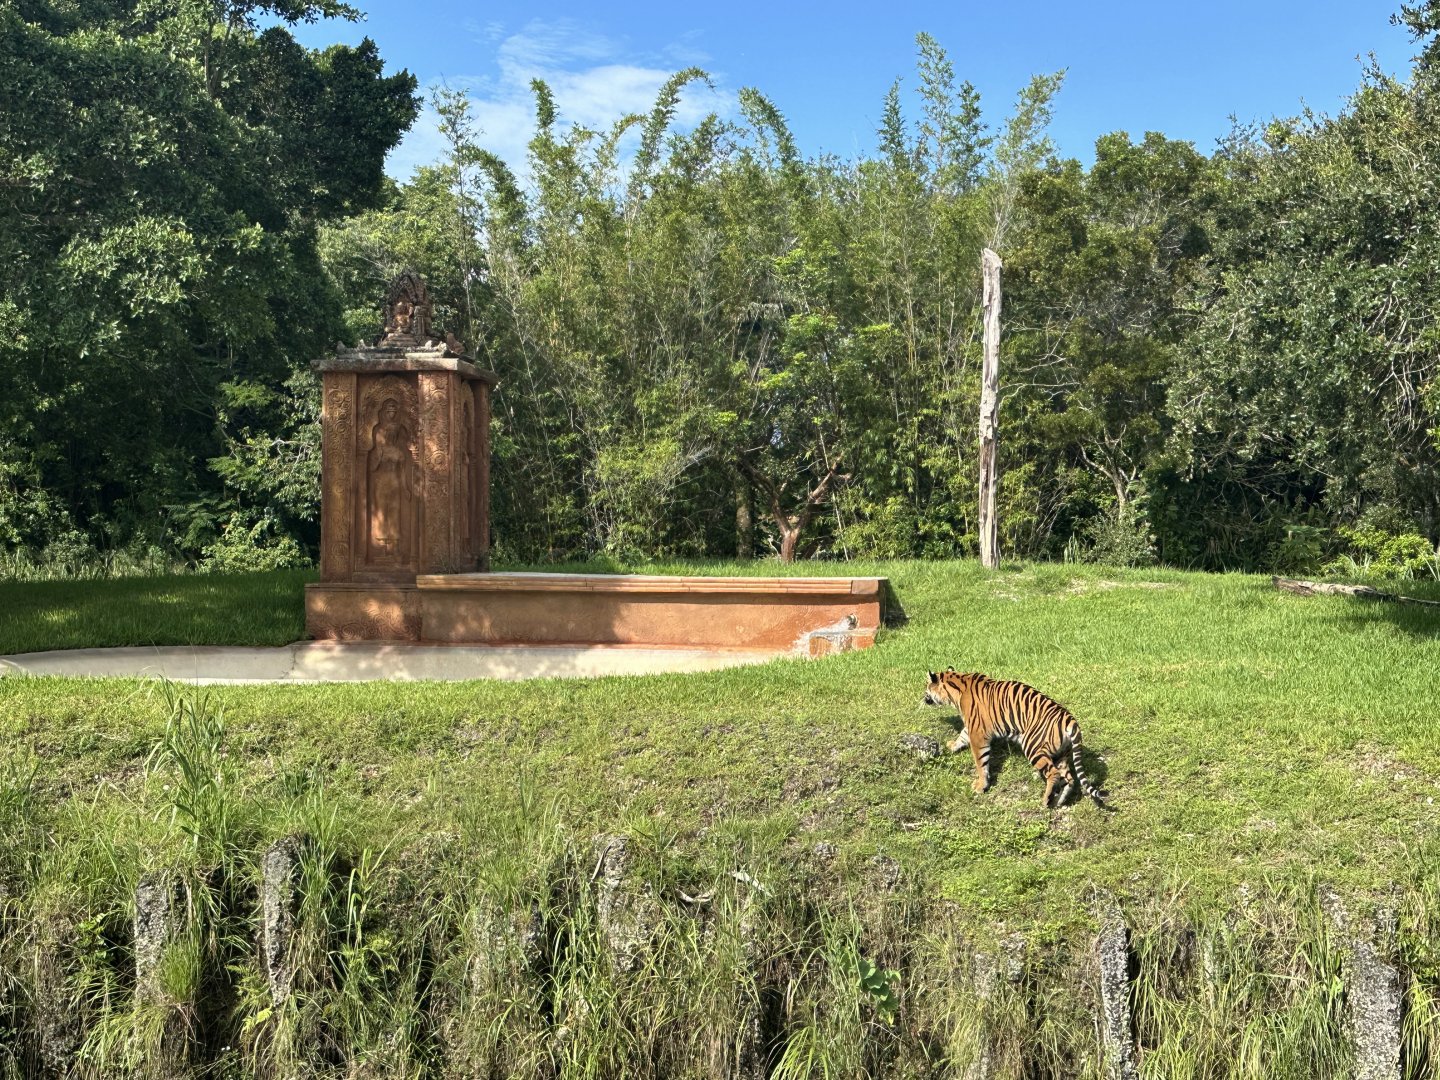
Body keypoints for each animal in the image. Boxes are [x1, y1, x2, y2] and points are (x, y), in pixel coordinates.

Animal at [923, 668, 1107, 808]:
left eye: (926, 687)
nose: (924, 697)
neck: (957, 686)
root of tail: (1070, 720)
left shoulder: (978, 734)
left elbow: (980, 763)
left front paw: (980, 786)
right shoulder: (971, 728)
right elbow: (962, 736)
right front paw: (952, 746)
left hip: (1032, 746)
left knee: (1053, 774)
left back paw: (1045, 800)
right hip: (1062, 754)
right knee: (1068, 778)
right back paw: (1058, 802)